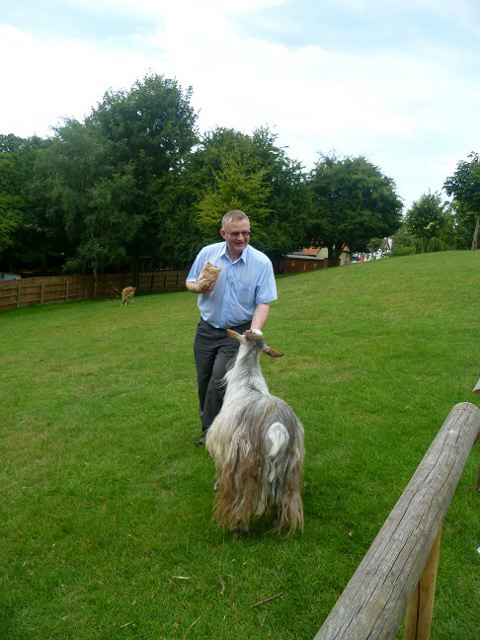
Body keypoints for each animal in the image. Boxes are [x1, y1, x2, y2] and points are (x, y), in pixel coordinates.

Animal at [205, 330, 304, 536]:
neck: (247, 381)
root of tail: (277, 428)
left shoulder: (222, 445)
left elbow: (219, 469)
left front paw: (217, 484)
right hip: (289, 469)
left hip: (247, 465)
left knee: (242, 502)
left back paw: (238, 527)